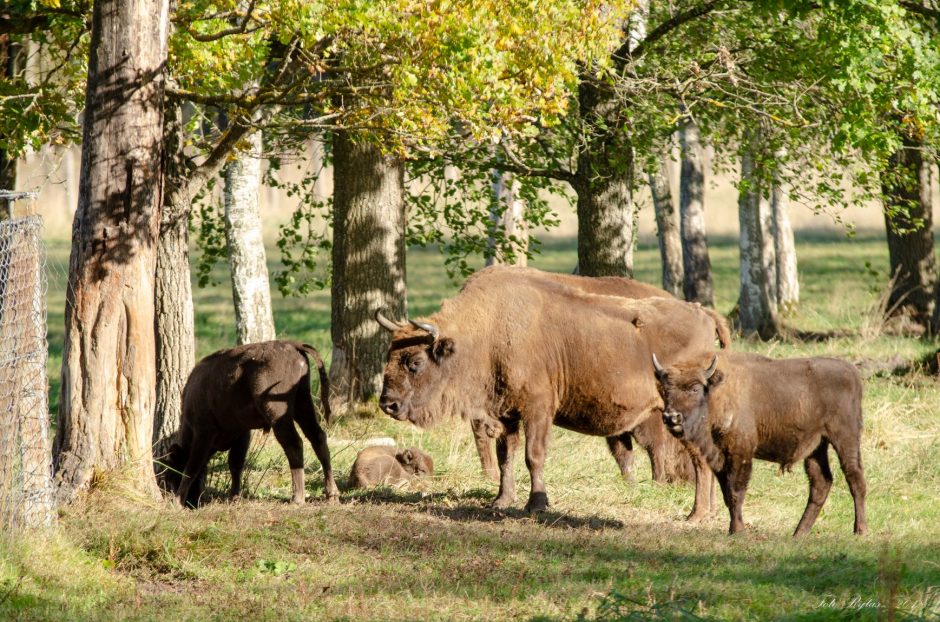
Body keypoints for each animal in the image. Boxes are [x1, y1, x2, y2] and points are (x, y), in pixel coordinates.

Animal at [374, 266, 728, 516]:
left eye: (415, 362)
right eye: (389, 355)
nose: (388, 404)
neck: (488, 330)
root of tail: (704, 314)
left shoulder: (537, 409)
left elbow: (534, 456)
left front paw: (536, 504)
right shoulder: (506, 414)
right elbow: (506, 457)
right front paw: (501, 501)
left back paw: (699, 512)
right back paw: (707, 511)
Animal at [652, 354, 868, 540]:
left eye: (695, 389)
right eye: (666, 390)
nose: (671, 417)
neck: (717, 394)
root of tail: (853, 372)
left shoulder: (740, 453)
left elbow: (736, 492)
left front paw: (738, 531)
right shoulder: (719, 458)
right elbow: (727, 494)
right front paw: (734, 528)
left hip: (845, 437)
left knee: (854, 477)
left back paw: (860, 531)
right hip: (817, 447)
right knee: (821, 482)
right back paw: (798, 533)